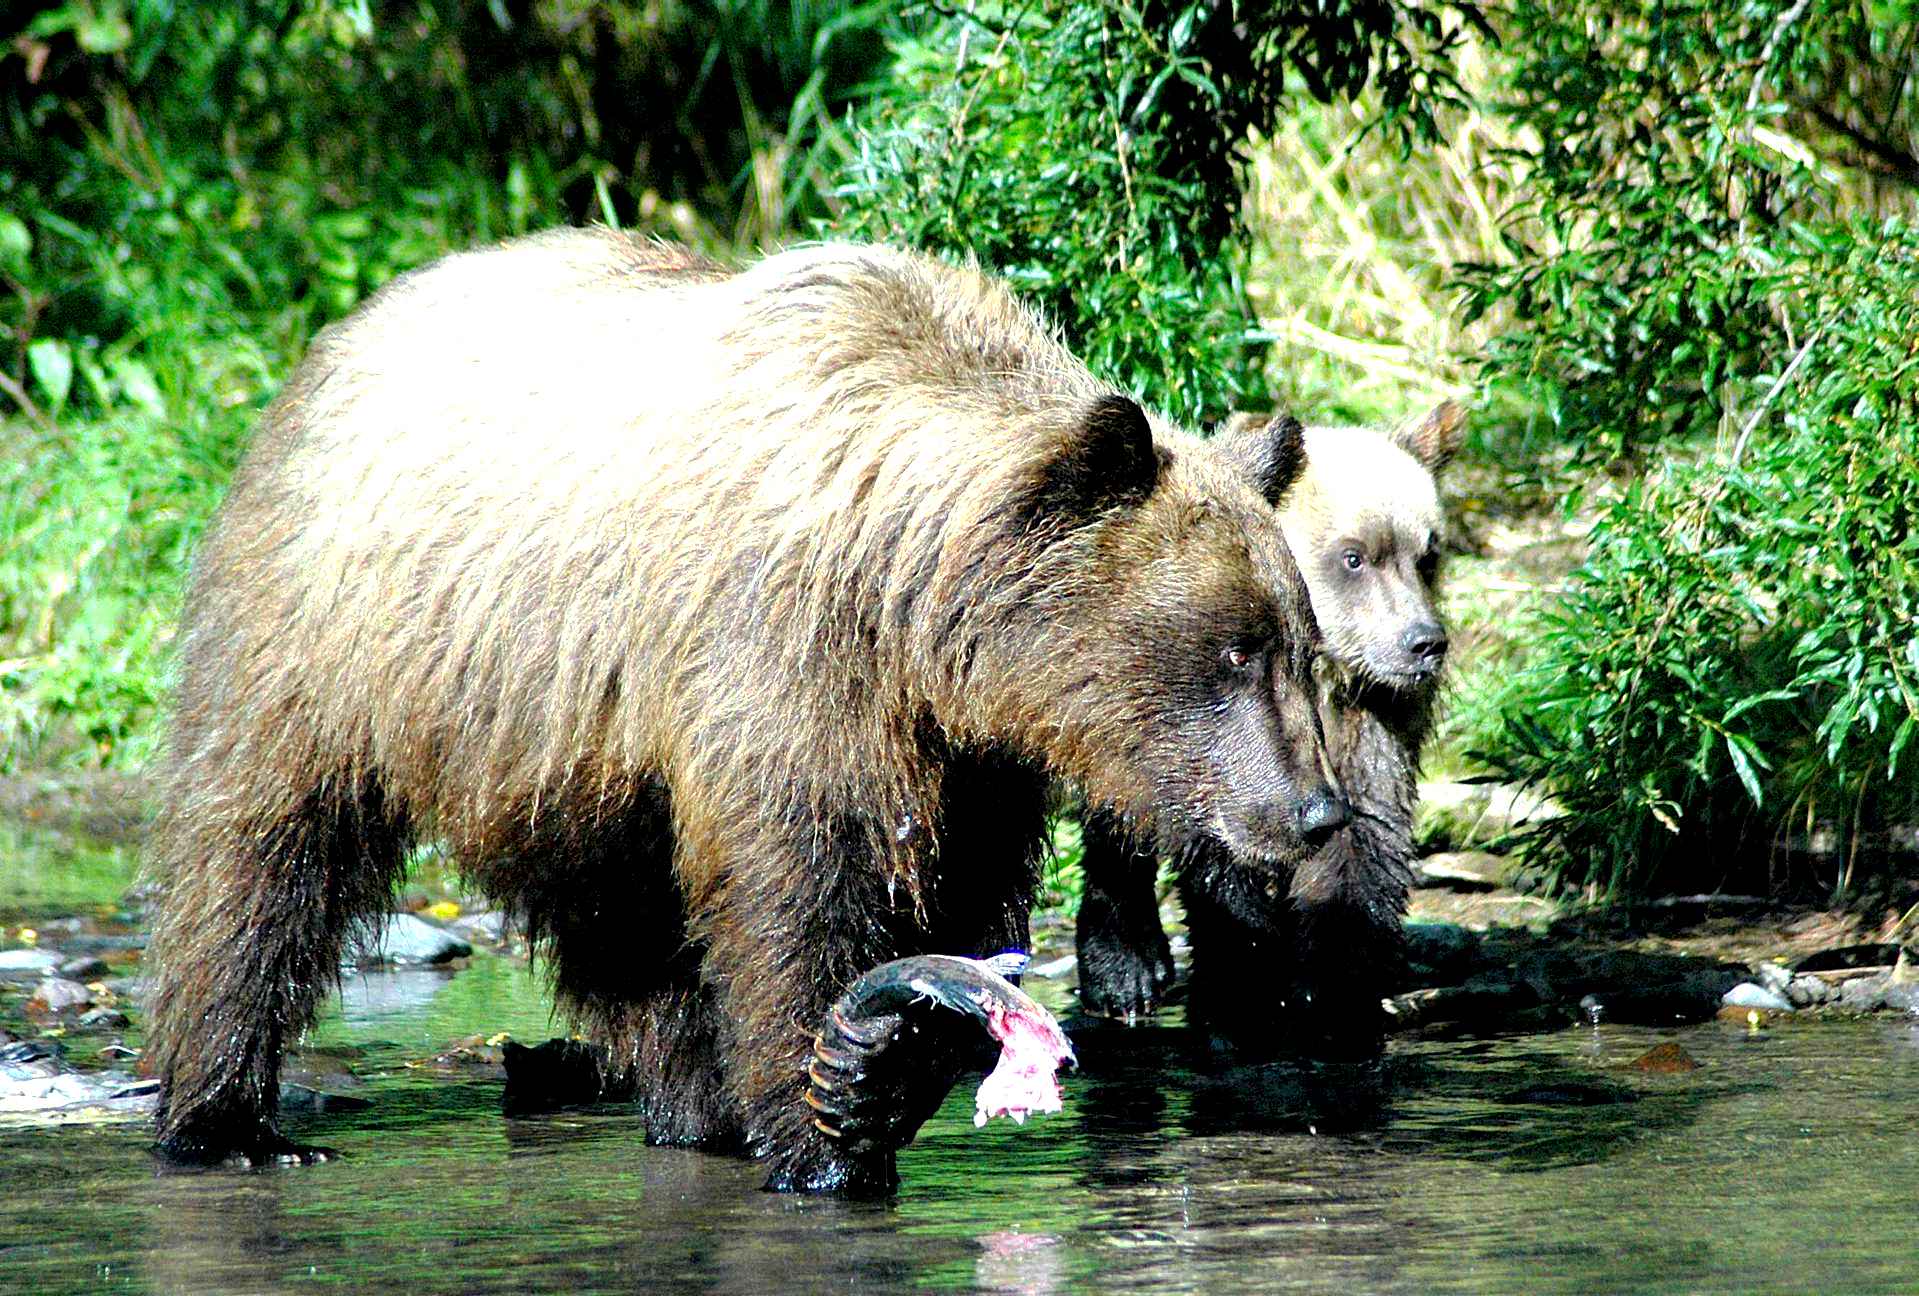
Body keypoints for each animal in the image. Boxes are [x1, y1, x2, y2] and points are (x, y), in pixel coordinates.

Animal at [145, 230, 1350, 1198]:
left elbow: (955, 895)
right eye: (1232, 650)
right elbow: (794, 890)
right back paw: (227, 1120)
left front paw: (884, 1065)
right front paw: (826, 1135)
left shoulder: (964, 749)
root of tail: (332, 341)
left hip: (575, 753)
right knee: (259, 858)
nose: (1314, 812)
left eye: (1301, 648)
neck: (910, 601)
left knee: (624, 923)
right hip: (345, 640)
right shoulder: (780, 662)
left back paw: (692, 1110)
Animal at [1074, 403, 1458, 1052]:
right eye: (1354, 556)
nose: (1424, 643)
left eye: (1426, 554)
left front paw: (1334, 995)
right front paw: (1240, 998)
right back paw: (1127, 968)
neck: (1320, 678)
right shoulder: (1217, 735)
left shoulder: (1370, 718)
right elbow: (1228, 850)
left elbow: (1363, 839)